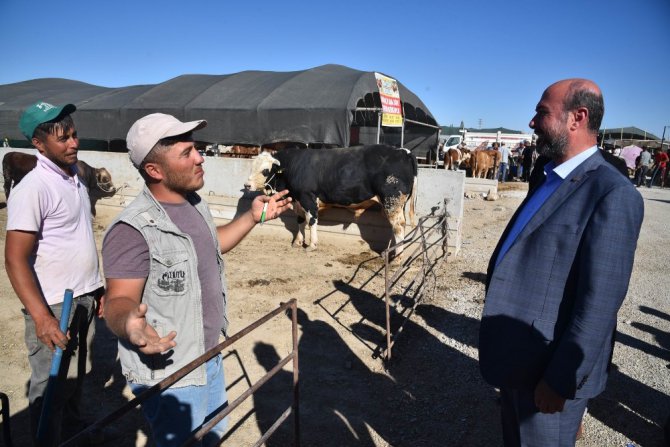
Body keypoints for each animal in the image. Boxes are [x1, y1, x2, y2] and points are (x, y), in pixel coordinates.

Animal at [244, 145, 418, 258]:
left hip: (392, 200)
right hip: (396, 203)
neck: (293, 166)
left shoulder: (308, 198)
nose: (247, 185)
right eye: (251, 167)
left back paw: (397, 257)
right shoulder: (299, 201)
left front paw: (312, 245)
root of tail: (403, 151)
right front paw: (298, 242)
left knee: (398, 226)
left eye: (265, 170)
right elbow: (300, 221)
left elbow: (311, 221)